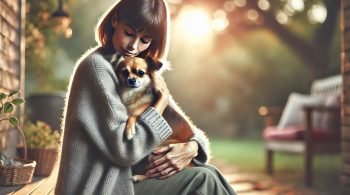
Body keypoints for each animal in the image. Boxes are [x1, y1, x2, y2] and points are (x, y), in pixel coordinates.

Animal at [110, 54, 194, 182]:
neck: (132, 94)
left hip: (156, 151)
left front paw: (129, 131)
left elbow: (132, 117)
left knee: (154, 174)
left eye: (141, 73)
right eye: (124, 72)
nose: (132, 80)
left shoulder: (142, 114)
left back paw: (138, 176)